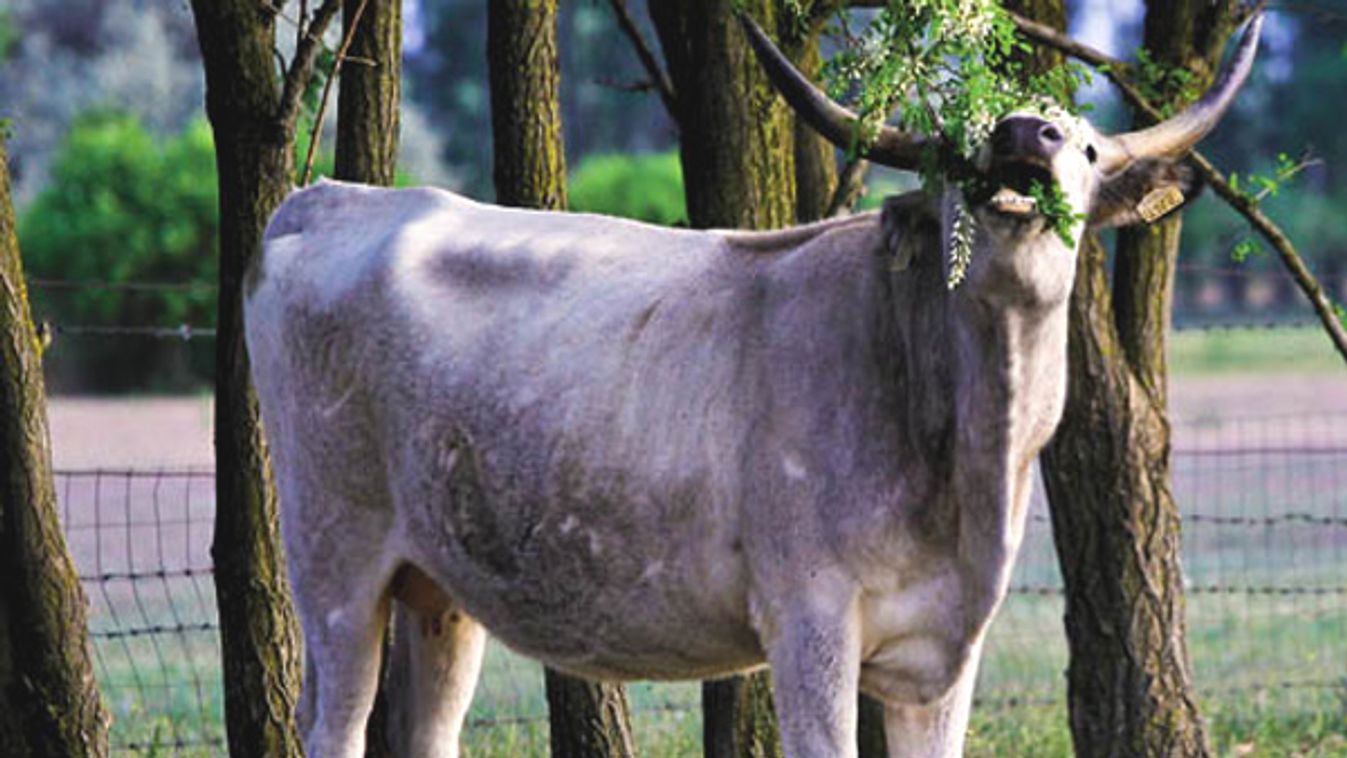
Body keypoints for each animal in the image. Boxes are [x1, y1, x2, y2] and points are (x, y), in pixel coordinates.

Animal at [245, 11, 1260, 758]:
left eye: (1084, 149)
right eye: (951, 149)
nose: (1020, 134)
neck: (966, 450)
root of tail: (329, 198)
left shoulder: (943, 651)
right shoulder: (809, 621)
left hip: (438, 589)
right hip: (334, 564)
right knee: (333, 723)